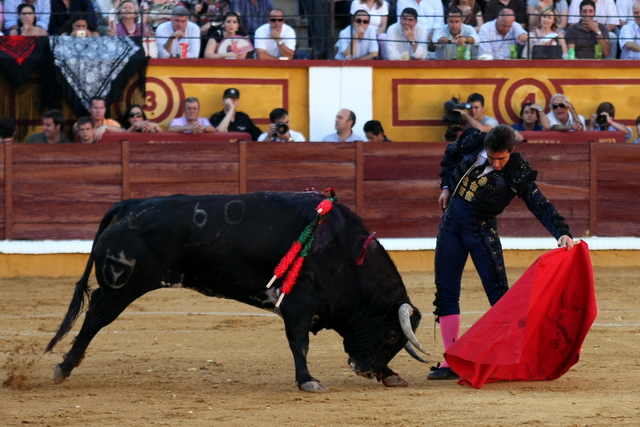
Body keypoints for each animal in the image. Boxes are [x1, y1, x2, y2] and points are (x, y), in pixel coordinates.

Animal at [43, 192, 424, 392]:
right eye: (392, 335)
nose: (366, 370)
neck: (343, 252)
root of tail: (130, 205)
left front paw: (391, 375)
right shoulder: (297, 304)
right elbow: (299, 343)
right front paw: (308, 381)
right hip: (121, 289)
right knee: (94, 320)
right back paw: (63, 368)